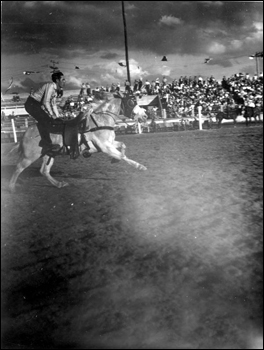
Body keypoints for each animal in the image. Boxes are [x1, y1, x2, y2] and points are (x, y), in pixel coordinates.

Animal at [9, 91, 147, 193]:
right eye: (131, 102)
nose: (145, 116)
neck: (101, 120)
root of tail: (27, 132)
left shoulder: (109, 143)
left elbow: (123, 146)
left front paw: (115, 160)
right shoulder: (105, 147)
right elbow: (122, 156)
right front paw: (140, 166)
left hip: (49, 154)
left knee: (44, 171)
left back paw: (59, 184)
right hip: (30, 156)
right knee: (18, 168)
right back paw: (11, 188)